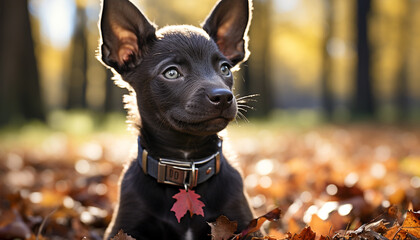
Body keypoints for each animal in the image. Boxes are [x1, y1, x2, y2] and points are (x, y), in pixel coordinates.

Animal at [99, 0, 256, 238]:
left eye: (225, 69)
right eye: (171, 73)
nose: (223, 96)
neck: (185, 168)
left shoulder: (244, 221)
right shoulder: (123, 226)